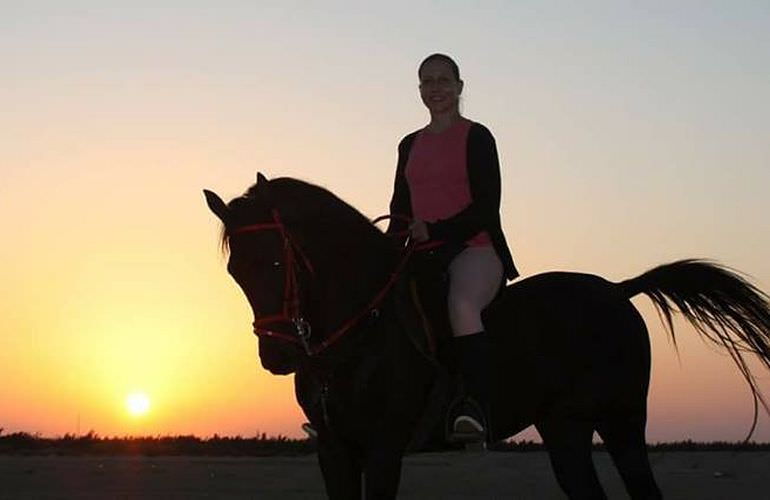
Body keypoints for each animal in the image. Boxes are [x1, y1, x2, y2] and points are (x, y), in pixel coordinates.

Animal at [202, 173, 768, 500]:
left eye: (277, 262)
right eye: (234, 271)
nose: (278, 355)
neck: (359, 337)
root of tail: (616, 290)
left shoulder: (384, 448)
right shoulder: (336, 451)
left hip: (623, 421)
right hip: (566, 428)